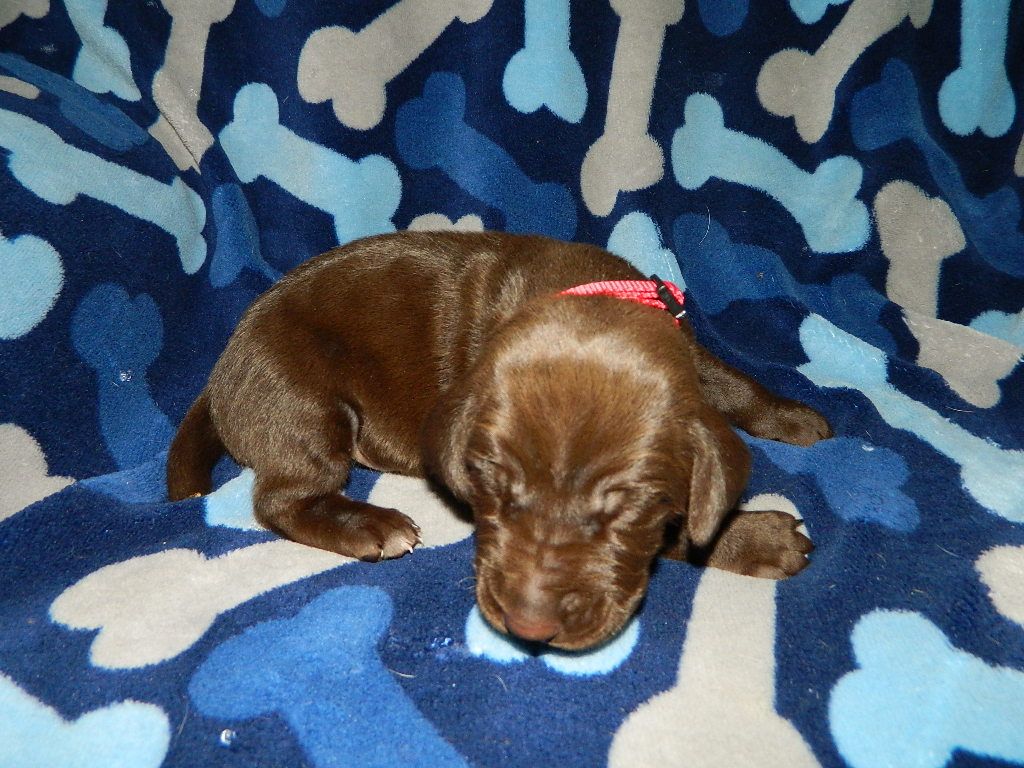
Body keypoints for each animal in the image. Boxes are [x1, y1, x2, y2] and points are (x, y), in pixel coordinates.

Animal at [167, 231, 831, 650]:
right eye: (492, 486)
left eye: (626, 509)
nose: (529, 625)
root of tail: (222, 368)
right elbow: (683, 534)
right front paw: (761, 537)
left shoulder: (688, 352)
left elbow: (730, 383)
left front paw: (793, 417)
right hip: (304, 402)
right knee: (280, 499)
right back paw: (370, 526)